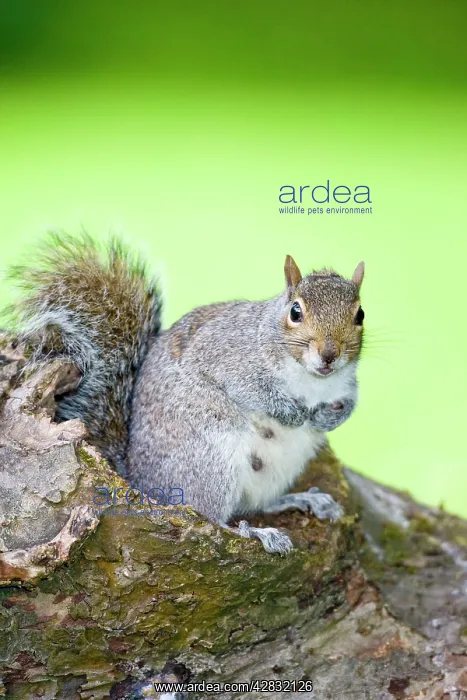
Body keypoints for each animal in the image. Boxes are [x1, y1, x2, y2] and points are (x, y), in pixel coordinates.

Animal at [7, 232, 365, 554]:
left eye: (360, 314)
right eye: (295, 312)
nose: (329, 354)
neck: (311, 380)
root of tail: (142, 482)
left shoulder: (346, 382)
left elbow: (350, 401)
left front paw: (331, 417)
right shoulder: (224, 356)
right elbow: (250, 389)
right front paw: (291, 413)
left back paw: (303, 499)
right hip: (211, 461)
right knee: (210, 519)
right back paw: (255, 533)